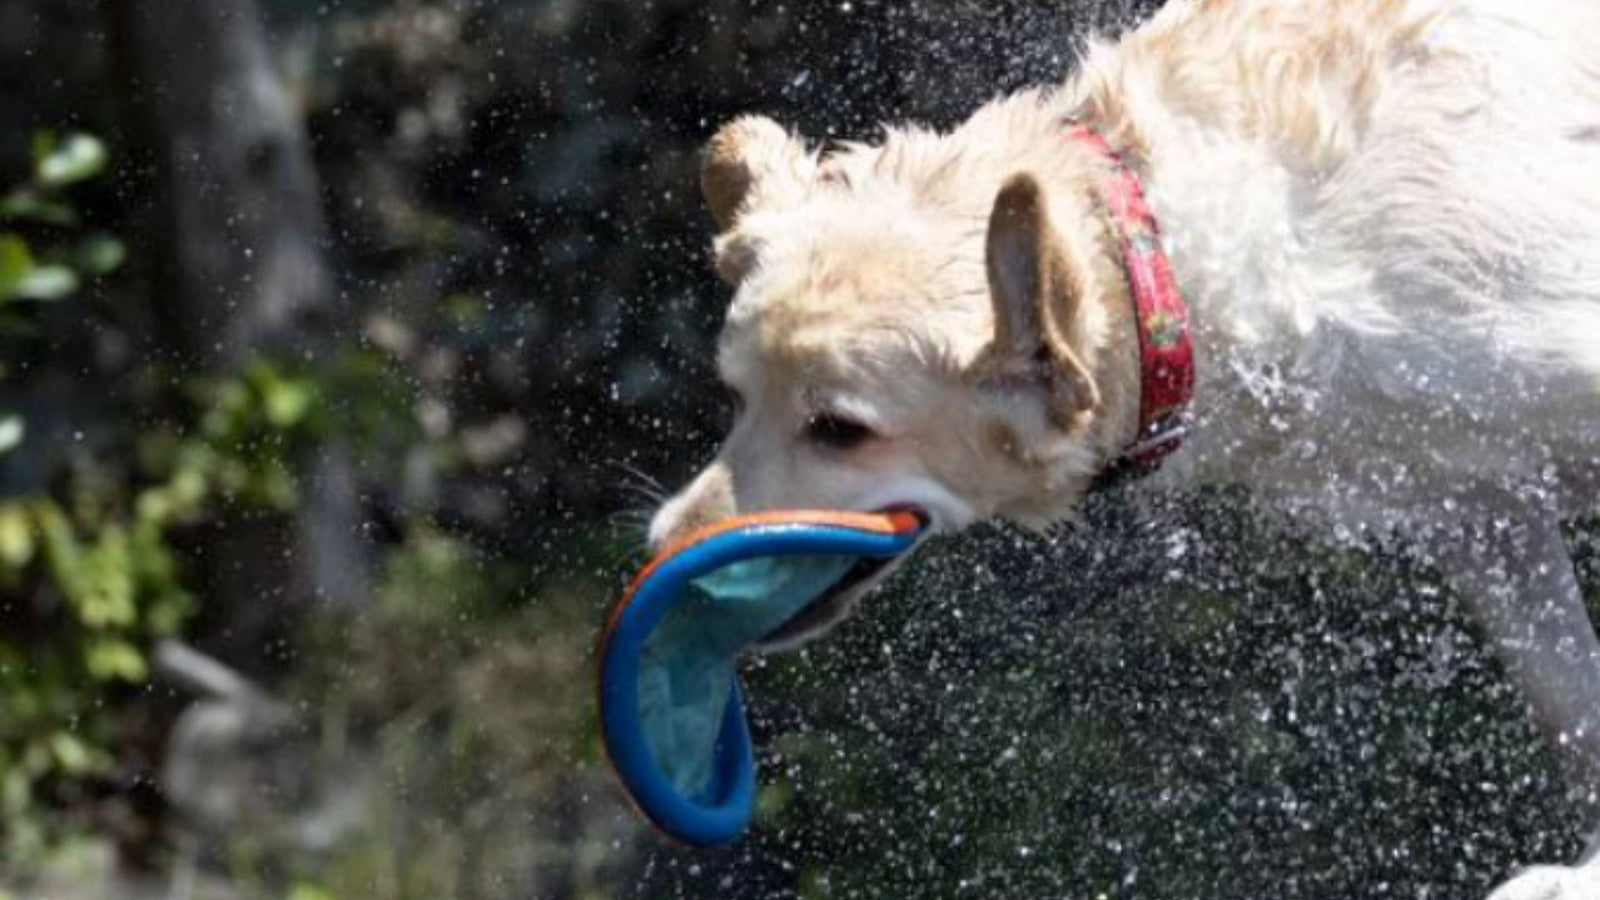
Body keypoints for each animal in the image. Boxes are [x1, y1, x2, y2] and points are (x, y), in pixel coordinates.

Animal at [640, 0, 1600, 883]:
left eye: (840, 429)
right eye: (736, 396)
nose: (662, 550)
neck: (1161, 255)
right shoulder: (1476, 506)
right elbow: (1569, 697)